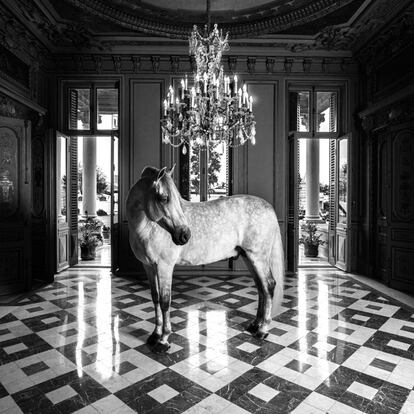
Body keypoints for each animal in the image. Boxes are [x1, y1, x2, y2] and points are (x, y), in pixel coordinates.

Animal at [125, 165, 284, 352]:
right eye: (164, 198)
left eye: (176, 198)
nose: (185, 235)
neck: (148, 228)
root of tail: (268, 207)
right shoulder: (149, 266)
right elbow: (155, 298)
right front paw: (155, 335)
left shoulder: (164, 267)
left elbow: (165, 302)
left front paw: (163, 340)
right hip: (249, 257)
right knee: (261, 288)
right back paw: (255, 325)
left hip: (258, 257)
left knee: (269, 286)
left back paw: (263, 330)